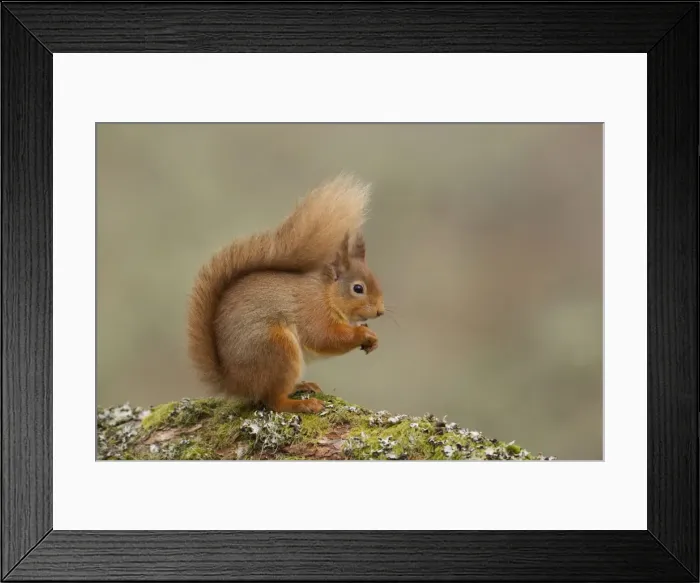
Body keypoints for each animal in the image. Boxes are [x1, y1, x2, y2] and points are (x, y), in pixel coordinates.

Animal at [186, 173, 385, 414]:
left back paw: (303, 386)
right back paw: (302, 404)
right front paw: (363, 334)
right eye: (358, 288)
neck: (326, 294)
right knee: (274, 401)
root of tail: (235, 383)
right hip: (277, 349)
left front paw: (373, 340)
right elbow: (325, 337)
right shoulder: (313, 311)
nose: (381, 311)